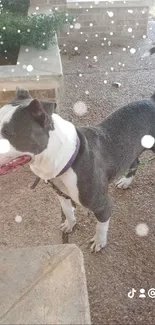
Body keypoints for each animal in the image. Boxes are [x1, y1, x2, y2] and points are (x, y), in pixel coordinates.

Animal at [0, 87, 155, 252]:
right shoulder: (61, 194)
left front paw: (99, 242)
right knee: (135, 161)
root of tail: (151, 100)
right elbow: (67, 211)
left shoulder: (103, 205)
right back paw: (126, 181)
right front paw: (70, 224)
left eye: (8, 133)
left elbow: (101, 227)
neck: (65, 158)